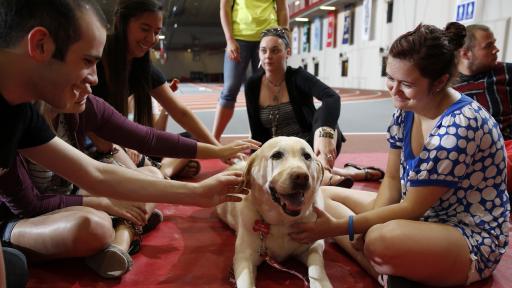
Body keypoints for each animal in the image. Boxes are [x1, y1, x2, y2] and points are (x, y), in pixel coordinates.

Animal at [215, 136, 332, 286]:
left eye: (307, 156)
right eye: (277, 155)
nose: (301, 177)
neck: (282, 222)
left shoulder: (313, 245)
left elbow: (317, 268)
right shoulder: (244, 257)